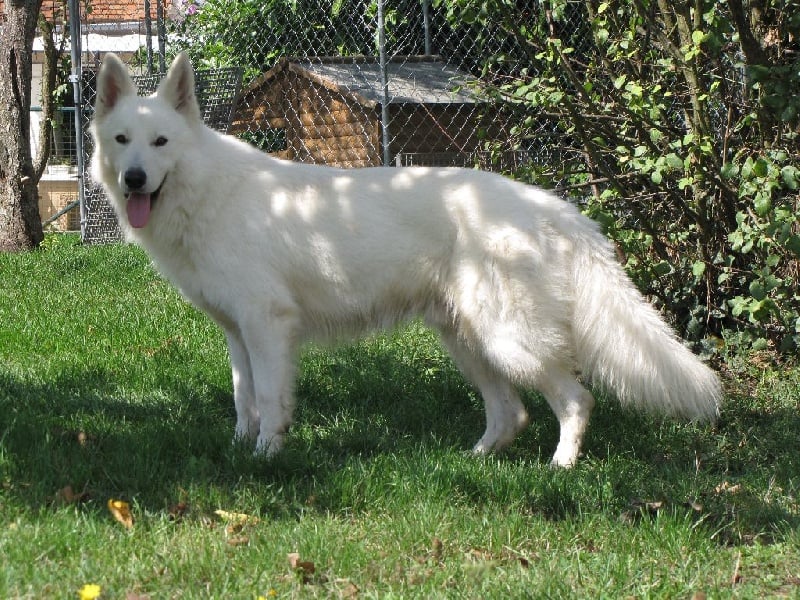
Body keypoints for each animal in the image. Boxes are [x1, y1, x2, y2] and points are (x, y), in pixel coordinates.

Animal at [90, 54, 720, 466]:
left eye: (161, 143)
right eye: (122, 141)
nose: (134, 179)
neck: (206, 189)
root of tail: (555, 208)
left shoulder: (268, 328)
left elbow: (269, 400)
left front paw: (268, 456)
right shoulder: (238, 335)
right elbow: (243, 400)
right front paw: (240, 452)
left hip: (508, 339)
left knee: (575, 399)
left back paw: (560, 468)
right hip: (466, 340)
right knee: (510, 414)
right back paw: (474, 459)